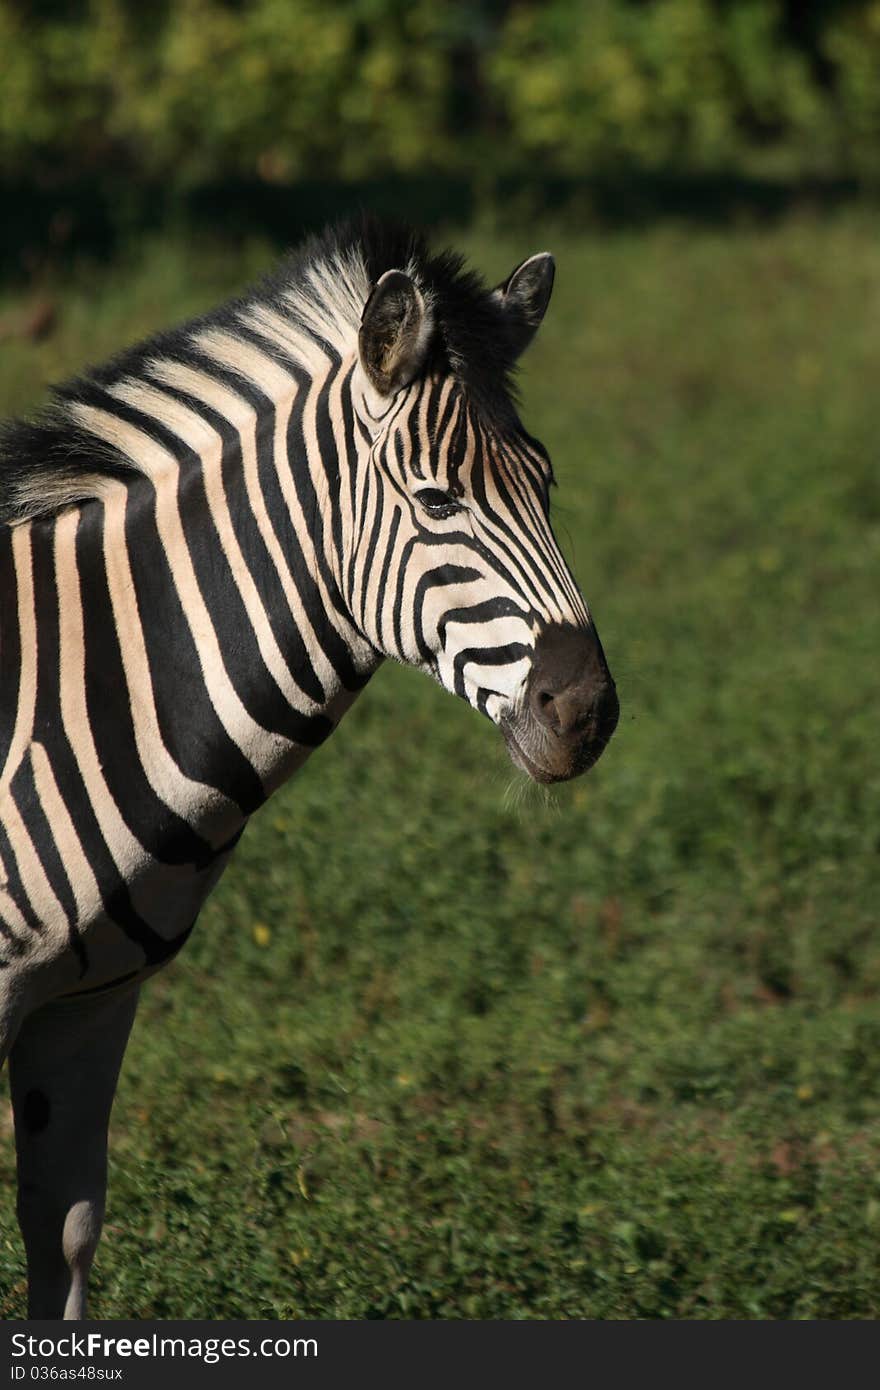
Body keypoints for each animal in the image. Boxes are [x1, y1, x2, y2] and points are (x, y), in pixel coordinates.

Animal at [0, 216, 617, 1312]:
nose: (584, 712)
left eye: (546, 483)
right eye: (437, 500)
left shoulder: (87, 998)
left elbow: (62, 1229)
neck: (80, 675)